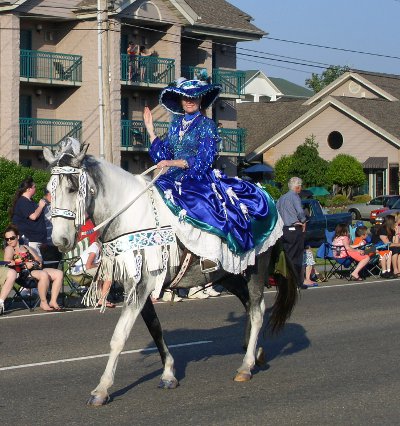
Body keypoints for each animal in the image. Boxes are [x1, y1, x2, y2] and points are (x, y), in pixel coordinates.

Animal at [43, 139, 296, 406]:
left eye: (72, 188)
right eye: (49, 190)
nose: (60, 240)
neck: (130, 215)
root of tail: (267, 196)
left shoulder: (140, 286)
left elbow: (119, 337)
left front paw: (102, 389)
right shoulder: (137, 289)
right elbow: (155, 329)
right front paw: (168, 374)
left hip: (256, 271)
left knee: (257, 311)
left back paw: (246, 365)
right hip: (230, 276)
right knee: (249, 305)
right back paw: (254, 351)